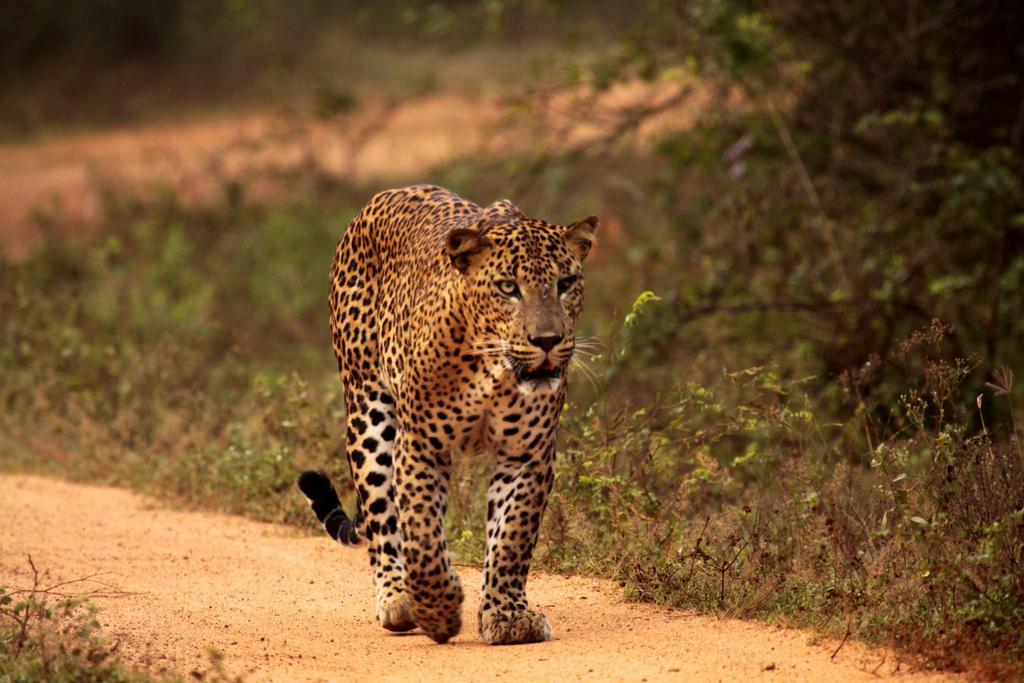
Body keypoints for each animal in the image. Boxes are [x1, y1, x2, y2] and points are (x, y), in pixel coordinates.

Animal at [296, 185, 598, 647]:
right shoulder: (420, 446)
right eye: (508, 287)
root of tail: (386, 194)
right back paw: (398, 600)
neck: (495, 369)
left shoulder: (528, 453)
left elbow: (512, 536)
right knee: (382, 517)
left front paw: (508, 616)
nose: (546, 340)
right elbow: (421, 531)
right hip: (368, 411)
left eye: (565, 283)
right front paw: (437, 610)